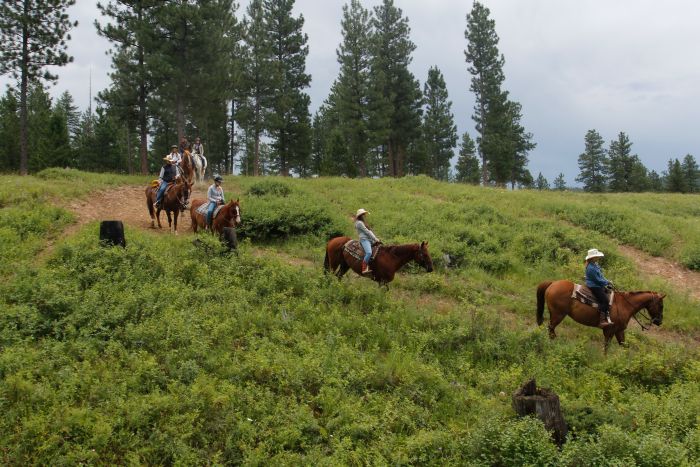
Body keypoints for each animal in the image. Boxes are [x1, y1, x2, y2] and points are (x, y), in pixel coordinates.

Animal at [536, 282, 668, 352]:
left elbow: (624, 345)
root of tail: (552, 283)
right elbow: (606, 347)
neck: (625, 305)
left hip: (555, 314)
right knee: (551, 329)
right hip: (558, 315)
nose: (659, 321)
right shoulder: (609, 330)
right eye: (661, 305)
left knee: (550, 329)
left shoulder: (619, 331)